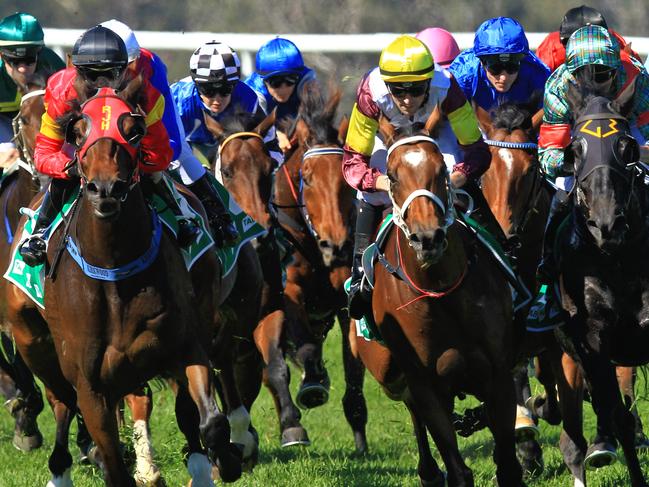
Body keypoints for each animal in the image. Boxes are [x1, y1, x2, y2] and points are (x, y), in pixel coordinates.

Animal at [4, 79, 240, 484]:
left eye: (134, 130)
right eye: (77, 132)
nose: (106, 189)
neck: (114, 271)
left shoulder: (185, 344)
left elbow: (210, 421)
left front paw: (224, 460)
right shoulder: (90, 385)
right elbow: (111, 457)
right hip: (33, 341)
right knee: (61, 402)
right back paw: (60, 466)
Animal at [270, 85, 368, 454]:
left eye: (346, 180)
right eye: (308, 179)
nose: (336, 245)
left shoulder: (346, 301)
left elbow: (354, 368)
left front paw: (360, 438)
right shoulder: (289, 291)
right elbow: (305, 348)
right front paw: (312, 385)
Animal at [364, 124, 520, 486]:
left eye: (441, 171)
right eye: (393, 177)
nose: (427, 238)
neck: (441, 291)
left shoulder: (498, 373)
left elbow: (508, 463)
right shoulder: (426, 384)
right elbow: (457, 467)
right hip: (386, 370)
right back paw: (429, 472)